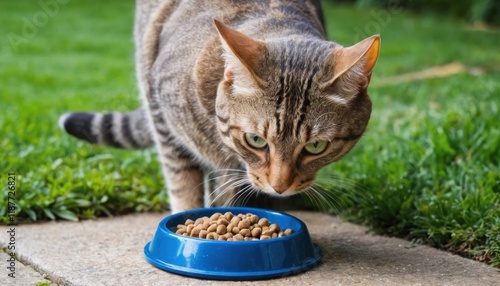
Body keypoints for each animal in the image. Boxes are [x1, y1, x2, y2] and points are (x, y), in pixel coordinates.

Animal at [58, 0, 378, 213]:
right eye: (256, 140)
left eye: (316, 147)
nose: (279, 187)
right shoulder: (164, 118)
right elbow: (183, 185)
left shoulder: (232, 170)